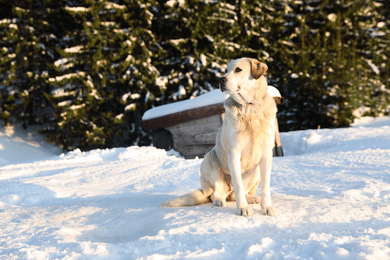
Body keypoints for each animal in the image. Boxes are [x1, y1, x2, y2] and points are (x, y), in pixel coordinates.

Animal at [161, 58, 278, 216]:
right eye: (226, 70)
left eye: (238, 70)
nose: (220, 79)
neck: (249, 107)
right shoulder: (234, 153)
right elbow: (238, 184)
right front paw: (243, 208)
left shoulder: (266, 153)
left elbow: (265, 187)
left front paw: (266, 207)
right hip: (210, 161)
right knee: (215, 194)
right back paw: (219, 200)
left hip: (256, 171)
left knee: (237, 193)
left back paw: (251, 198)